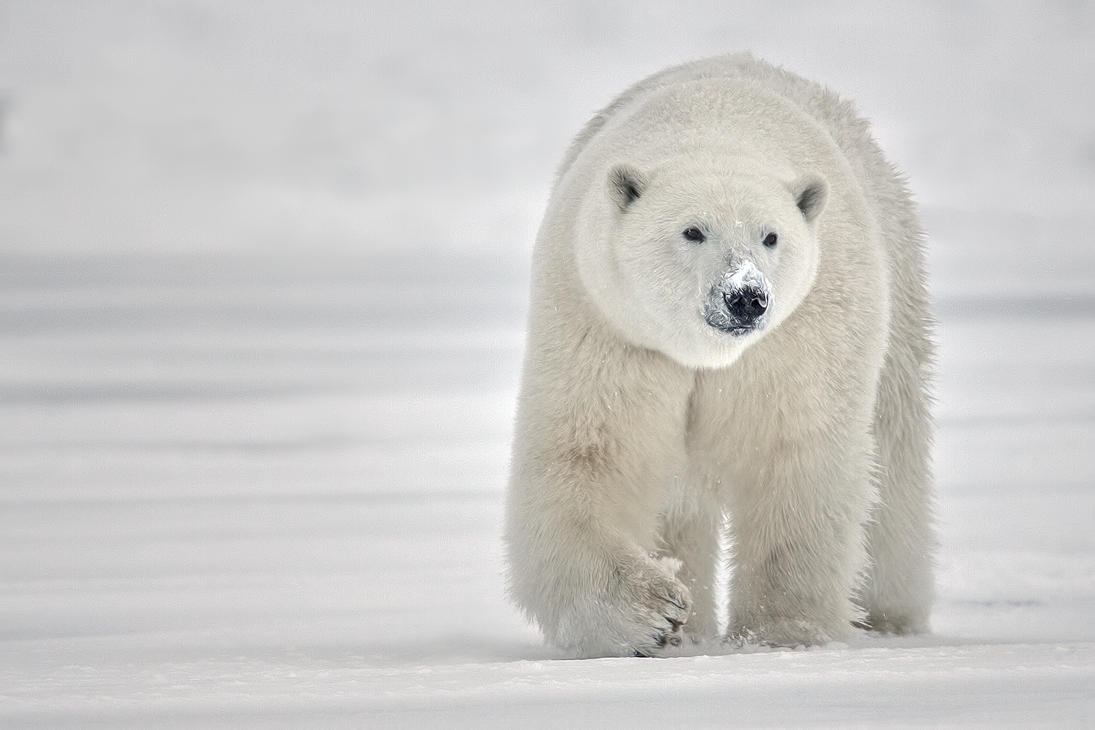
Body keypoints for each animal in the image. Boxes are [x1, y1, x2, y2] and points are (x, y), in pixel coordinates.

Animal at [503, 54, 932, 661]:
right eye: (692, 230)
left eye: (771, 236)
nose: (745, 296)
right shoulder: (607, 322)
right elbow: (590, 453)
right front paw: (655, 613)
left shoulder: (802, 333)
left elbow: (792, 453)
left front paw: (782, 633)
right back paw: (695, 625)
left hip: (897, 281)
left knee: (895, 453)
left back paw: (888, 615)